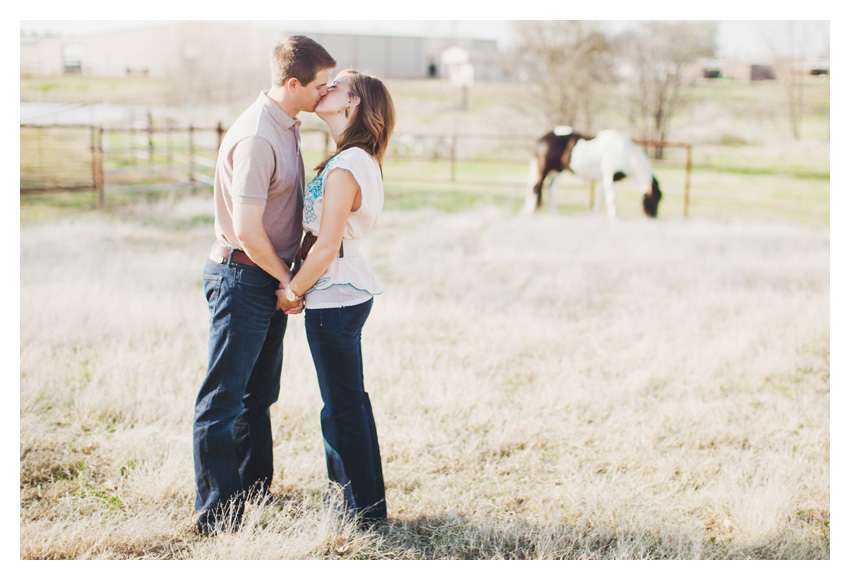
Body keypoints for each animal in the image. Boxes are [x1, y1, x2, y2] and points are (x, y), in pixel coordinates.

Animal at [516, 125, 664, 219]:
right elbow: (611, 197)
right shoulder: (608, 174)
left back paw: (556, 214)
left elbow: (602, 197)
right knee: (536, 188)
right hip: (545, 169)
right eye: (655, 199)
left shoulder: (608, 178)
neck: (624, 152)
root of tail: (542, 139)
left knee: (550, 189)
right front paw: (614, 218)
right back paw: (531, 213)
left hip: (556, 171)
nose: (653, 217)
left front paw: (595, 213)